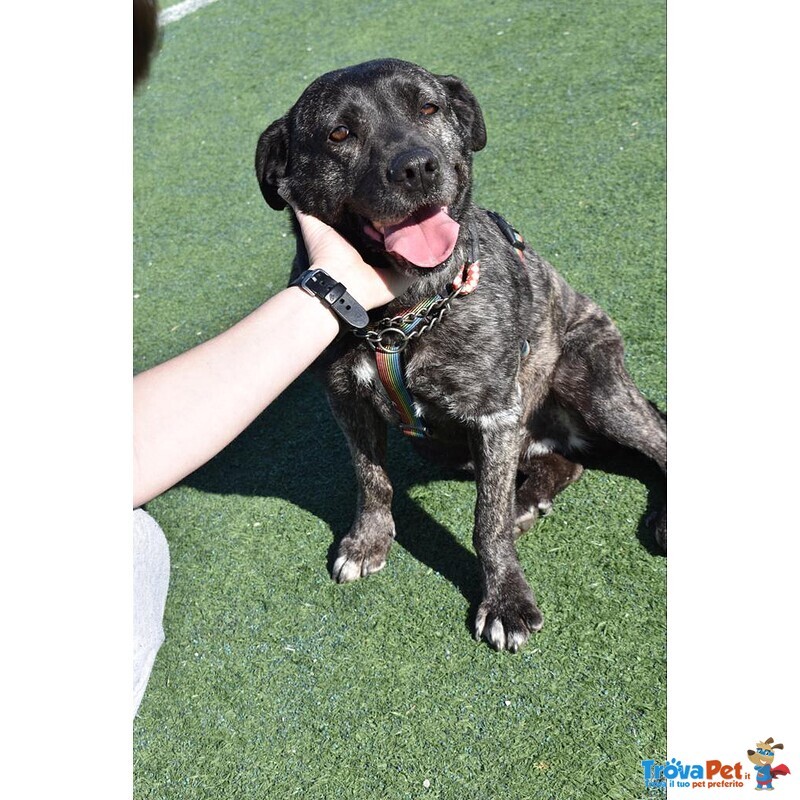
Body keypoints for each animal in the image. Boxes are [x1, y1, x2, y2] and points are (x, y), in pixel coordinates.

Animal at [256, 59, 668, 652]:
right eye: (339, 134)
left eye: (429, 107)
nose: (416, 167)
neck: (398, 318)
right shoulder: (347, 401)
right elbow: (371, 478)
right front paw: (368, 541)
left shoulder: (493, 415)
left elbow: (485, 520)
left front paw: (506, 600)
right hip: (452, 443)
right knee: (567, 461)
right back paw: (530, 500)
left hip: (594, 386)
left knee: (660, 443)